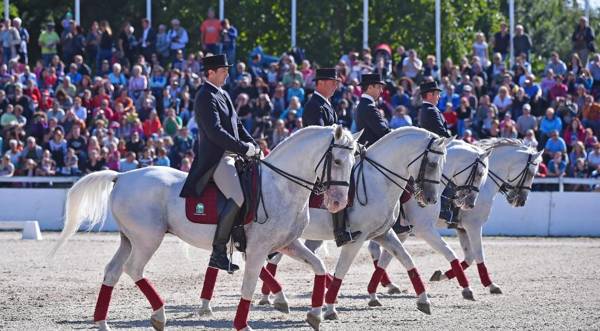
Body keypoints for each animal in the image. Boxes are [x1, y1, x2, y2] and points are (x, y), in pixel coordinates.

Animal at [51, 125, 358, 331]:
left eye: (354, 161)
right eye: (337, 161)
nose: (338, 202)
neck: (281, 186)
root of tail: (122, 177)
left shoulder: (287, 243)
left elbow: (319, 266)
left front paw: (315, 314)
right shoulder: (258, 248)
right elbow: (249, 284)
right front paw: (242, 324)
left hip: (129, 239)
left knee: (113, 272)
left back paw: (103, 322)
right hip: (147, 239)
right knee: (133, 269)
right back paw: (159, 315)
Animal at [199, 127, 452, 324]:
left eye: (443, 164)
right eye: (432, 164)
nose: (430, 198)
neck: (378, 180)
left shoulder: (383, 233)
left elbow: (407, 259)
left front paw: (423, 300)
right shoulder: (358, 237)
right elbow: (342, 270)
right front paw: (329, 308)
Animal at [366, 140, 492, 304]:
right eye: (480, 174)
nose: (470, 204)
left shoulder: (402, 233)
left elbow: (386, 259)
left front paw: (373, 290)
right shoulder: (426, 230)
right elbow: (452, 253)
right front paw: (469, 289)